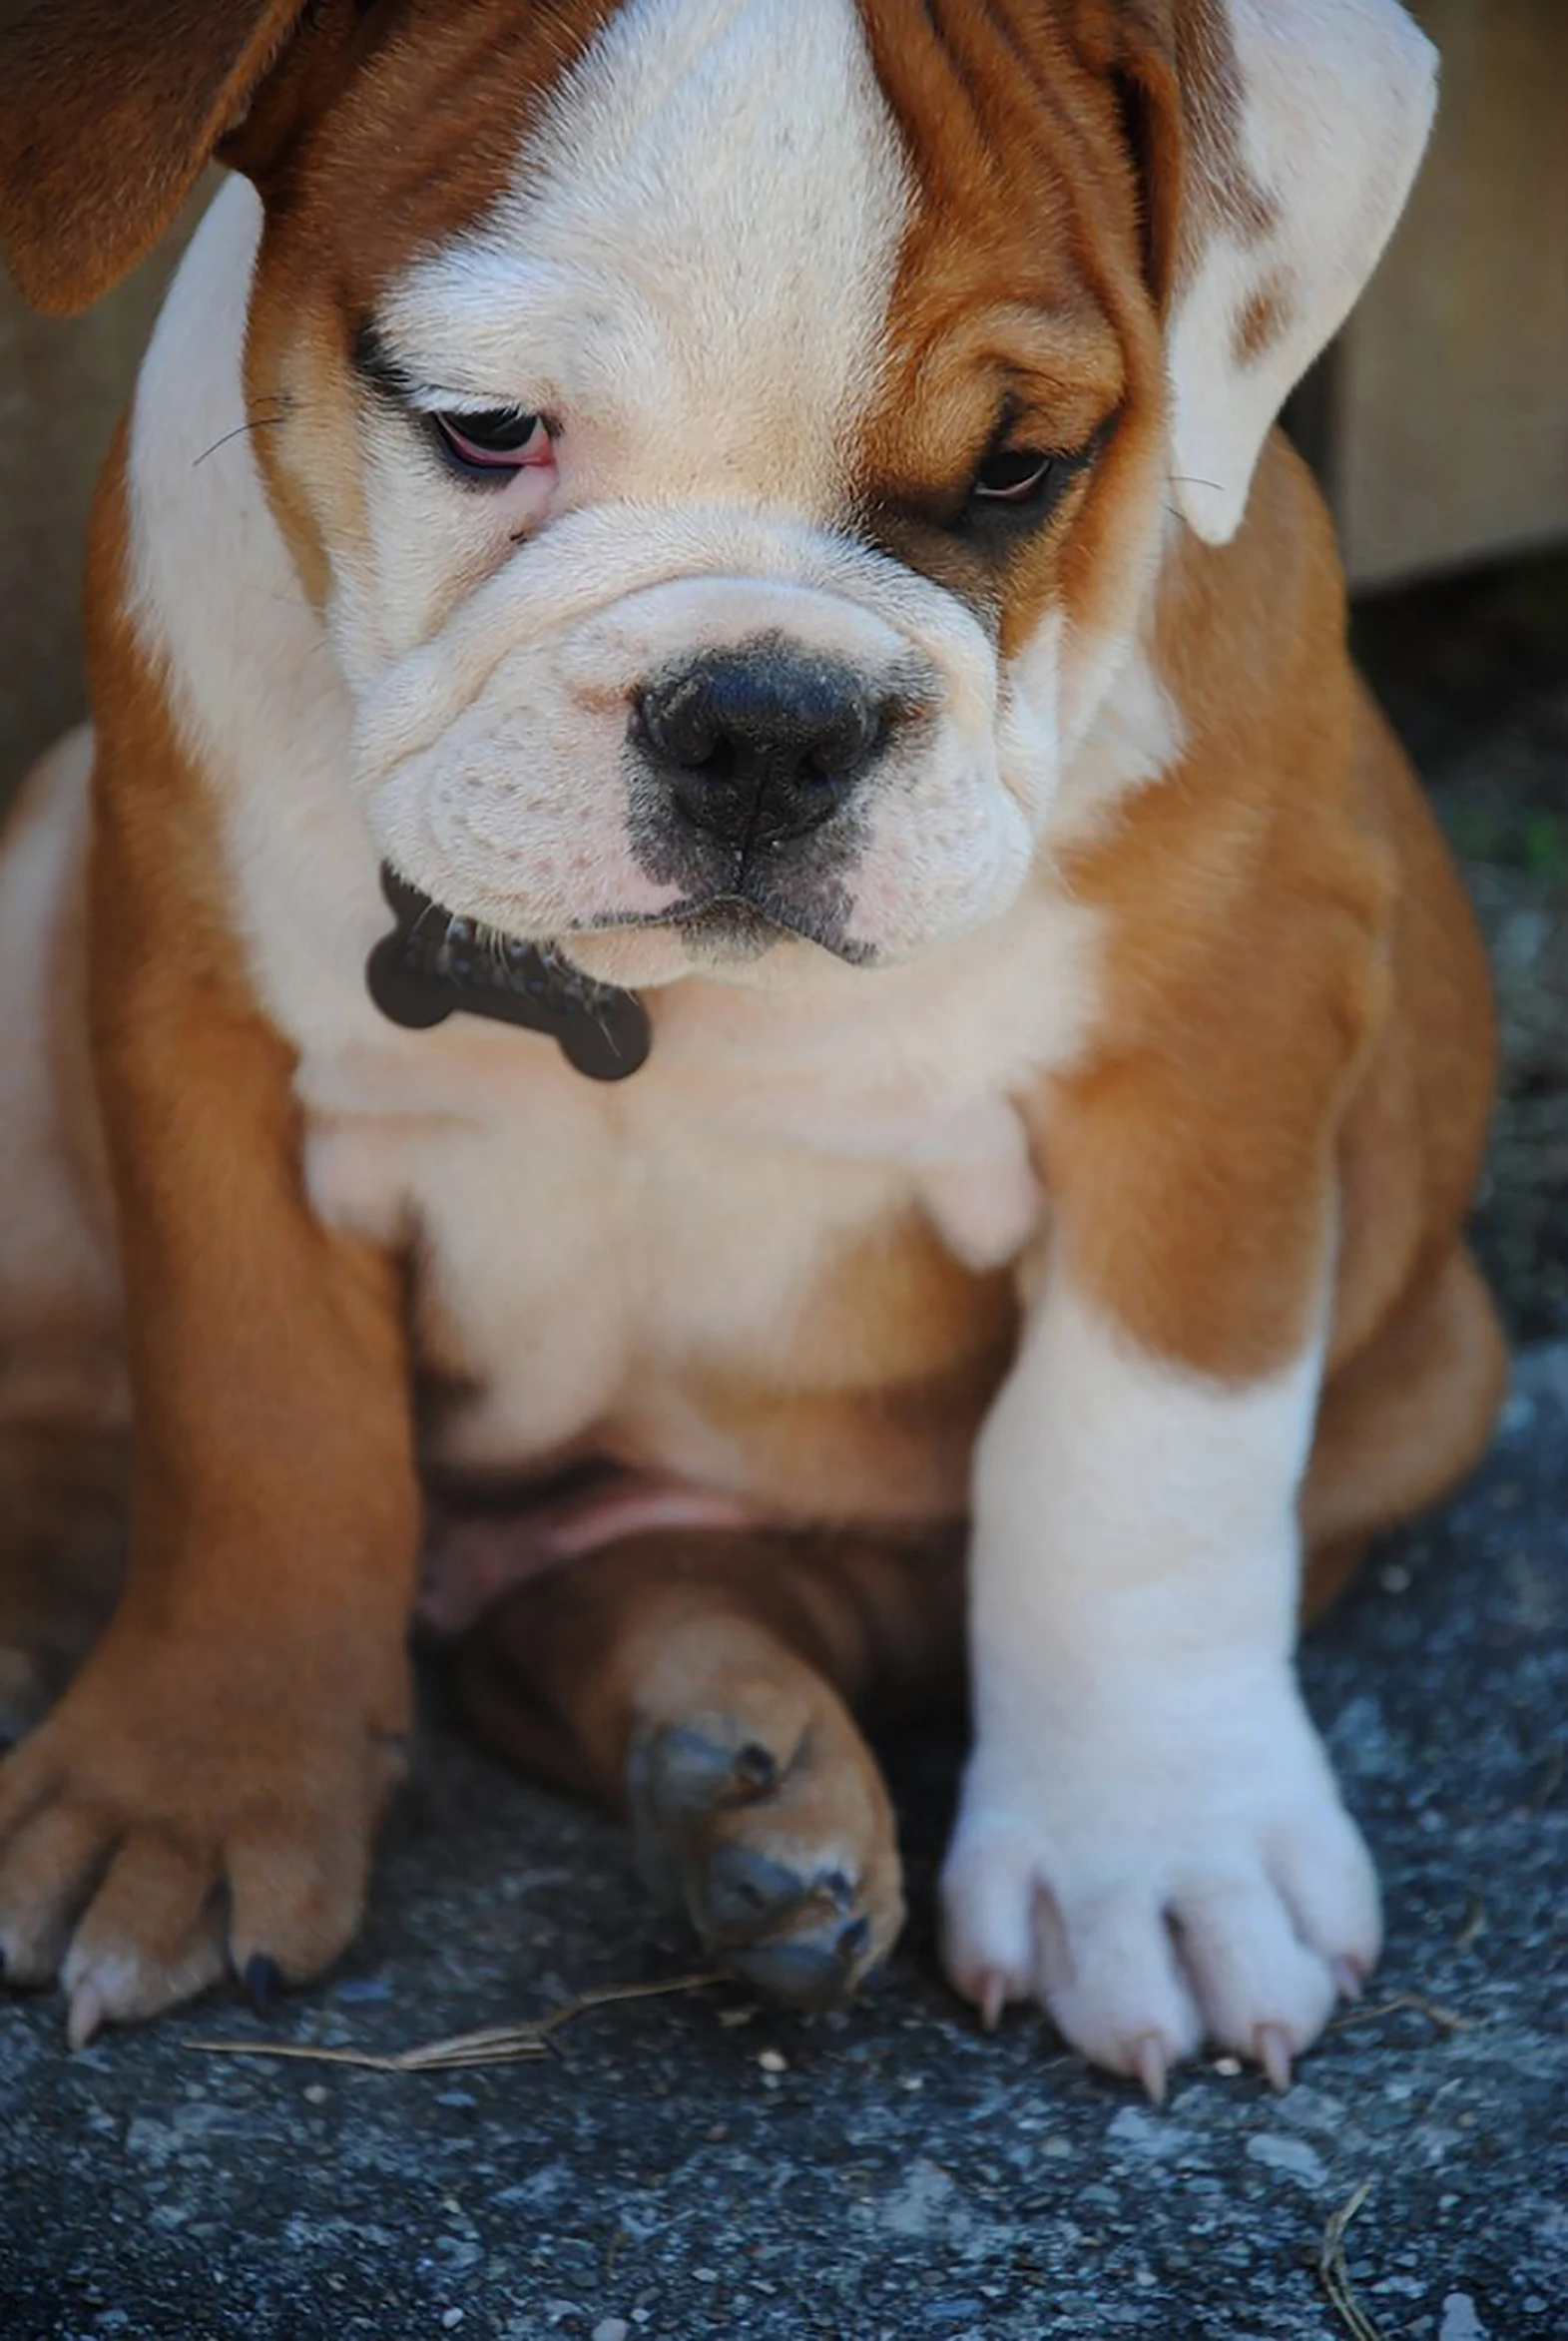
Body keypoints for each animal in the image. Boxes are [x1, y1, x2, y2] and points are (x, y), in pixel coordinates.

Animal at [0, 0, 1507, 2097]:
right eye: (484, 430)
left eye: (1021, 471)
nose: (766, 721)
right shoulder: (193, 1007)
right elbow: (255, 1425)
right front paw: (193, 1787)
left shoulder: (1216, 1052)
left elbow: (1136, 1460)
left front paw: (1154, 1851)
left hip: (1415, 1384)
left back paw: (753, 1791)